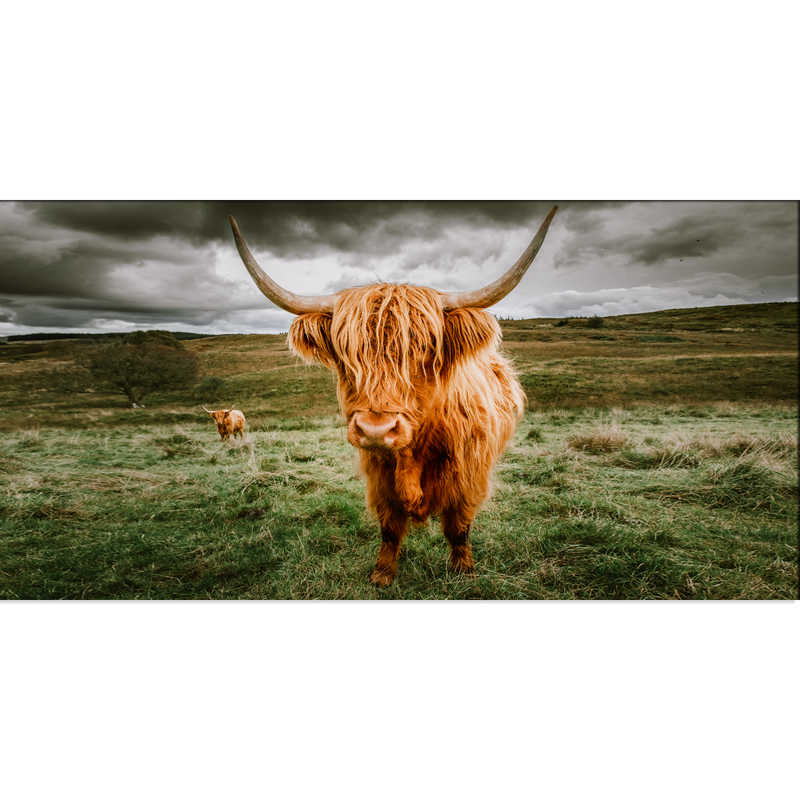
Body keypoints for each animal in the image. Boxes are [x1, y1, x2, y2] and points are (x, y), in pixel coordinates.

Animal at [229, 206, 558, 586]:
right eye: (345, 355)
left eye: (427, 350)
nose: (376, 431)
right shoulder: (380, 482)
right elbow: (389, 529)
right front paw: (382, 574)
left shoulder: (469, 480)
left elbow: (458, 528)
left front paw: (463, 571)